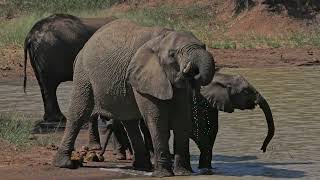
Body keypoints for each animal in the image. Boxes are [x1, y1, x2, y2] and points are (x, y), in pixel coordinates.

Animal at [52, 19, 215, 177]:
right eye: (173, 54)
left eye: (204, 46)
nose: (193, 73)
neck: (163, 37)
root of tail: (83, 48)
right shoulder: (145, 77)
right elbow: (158, 121)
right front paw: (164, 175)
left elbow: (182, 121)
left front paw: (184, 173)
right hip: (84, 75)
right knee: (78, 114)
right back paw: (64, 164)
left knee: (129, 121)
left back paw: (142, 166)